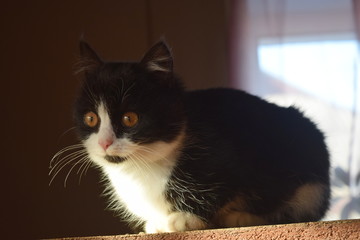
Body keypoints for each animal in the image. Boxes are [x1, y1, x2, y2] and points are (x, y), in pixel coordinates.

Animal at [50, 39, 330, 232]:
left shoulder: (233, 151)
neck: (143, 168)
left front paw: (186, 218)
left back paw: (240, 217)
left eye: (130, 118)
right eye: (91, 119)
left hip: (311, 167)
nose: (105, 142)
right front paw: (158, 222)